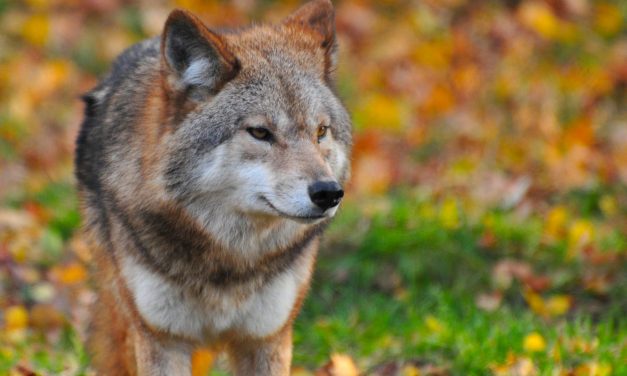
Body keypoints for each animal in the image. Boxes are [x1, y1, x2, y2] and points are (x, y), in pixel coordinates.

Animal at [73, 0, 354, 374]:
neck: (230, 262)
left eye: (321, 131)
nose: (328, 193)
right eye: (260, 132)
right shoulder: (161, 340)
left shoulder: (267, 338)